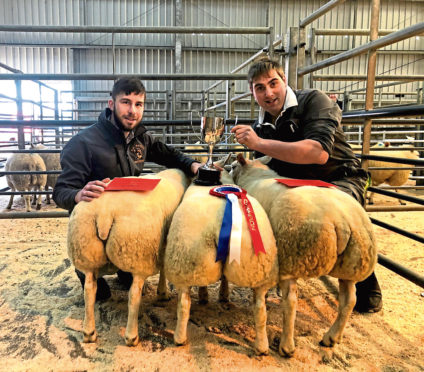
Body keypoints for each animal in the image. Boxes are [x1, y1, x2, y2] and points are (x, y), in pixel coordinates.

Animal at [68, 169, 192, 346]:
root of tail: (105, 213)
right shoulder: (163, 244)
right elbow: (162, 270)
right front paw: (163, 293)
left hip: (87, 252)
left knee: (89, 289)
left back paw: (89, 333)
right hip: (139, 255)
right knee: (133, 295)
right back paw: (132, 336)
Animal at [164, 167, 280, 354]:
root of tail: (218, 226)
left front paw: (206, 296)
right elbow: (224, 278)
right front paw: (221, 295)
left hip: (186, 262)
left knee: (183, 305)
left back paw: (179, 338)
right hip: (258, 268)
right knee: (260, 310)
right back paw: (262, 347)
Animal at [230, 154, 376, 358]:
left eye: (233, 166)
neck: (254, 175)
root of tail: (341, 222)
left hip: (293, 256)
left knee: (291, 302)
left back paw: (287, 346)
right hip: (353, 263)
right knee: (349, 300)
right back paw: (332, 337)